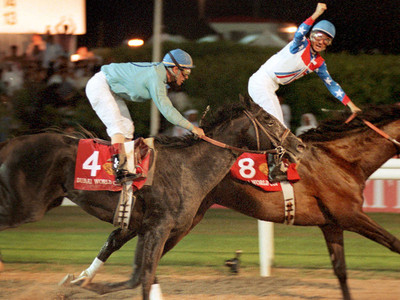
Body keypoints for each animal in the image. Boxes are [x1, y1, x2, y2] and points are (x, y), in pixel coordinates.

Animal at [0, 98, 302, 298]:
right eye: (269, 120)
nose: (298, 144)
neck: (189, 167)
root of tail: (11, 143)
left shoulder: (146, 228)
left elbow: (137, 275)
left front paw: (78, 282)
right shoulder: (159, 227)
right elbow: (142, 278)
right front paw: (79, 282)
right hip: (26, 206)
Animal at [70, 103, 398, 300]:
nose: (296, 146)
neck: (343, 159)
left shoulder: (332, 224)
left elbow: (341, 271)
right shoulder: (350, 215)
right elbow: (395, 243)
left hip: (183, 216)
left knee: (128, 242)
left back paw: (82, 281)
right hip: (181, 219)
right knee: (126, 242)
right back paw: (81, 280)